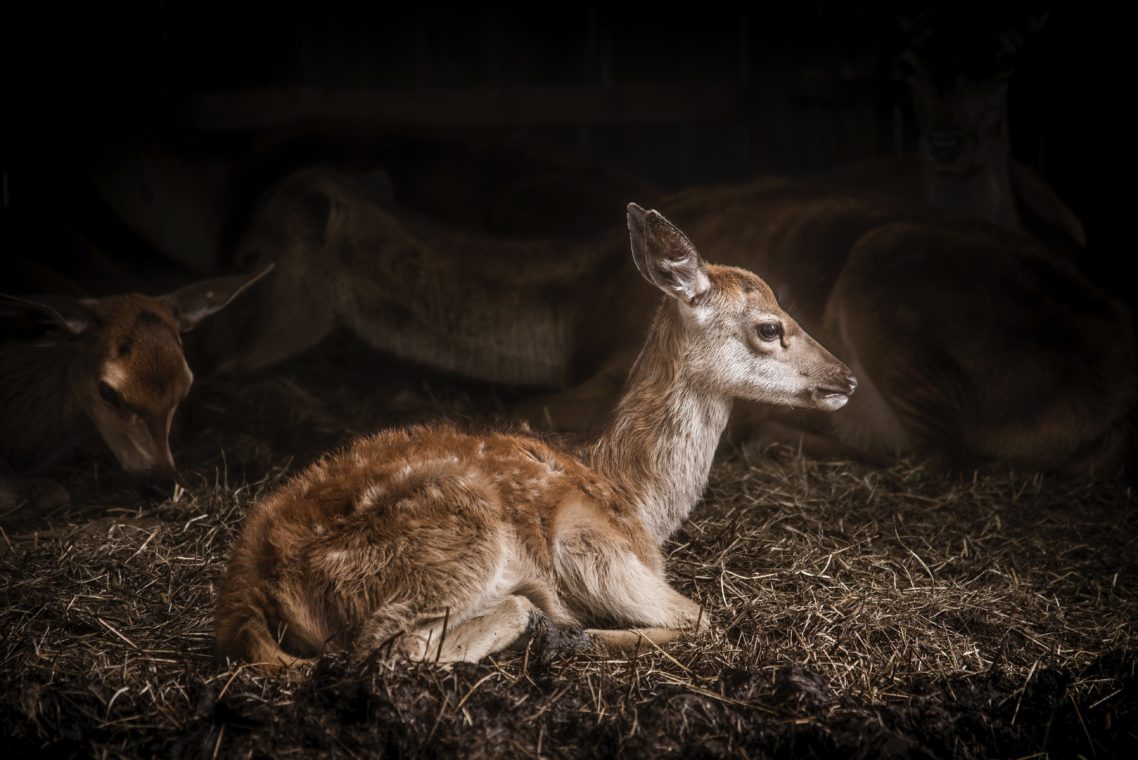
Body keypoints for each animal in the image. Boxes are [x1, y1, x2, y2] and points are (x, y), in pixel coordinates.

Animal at [213, 203, 856, 669]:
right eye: (770, 327)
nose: (845, 377)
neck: (635, 500)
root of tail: (249, 583)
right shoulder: (593, 546)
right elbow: (704, 620)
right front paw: (576, 634)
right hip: (457, 542)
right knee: (389, 647)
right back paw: (543, 624)